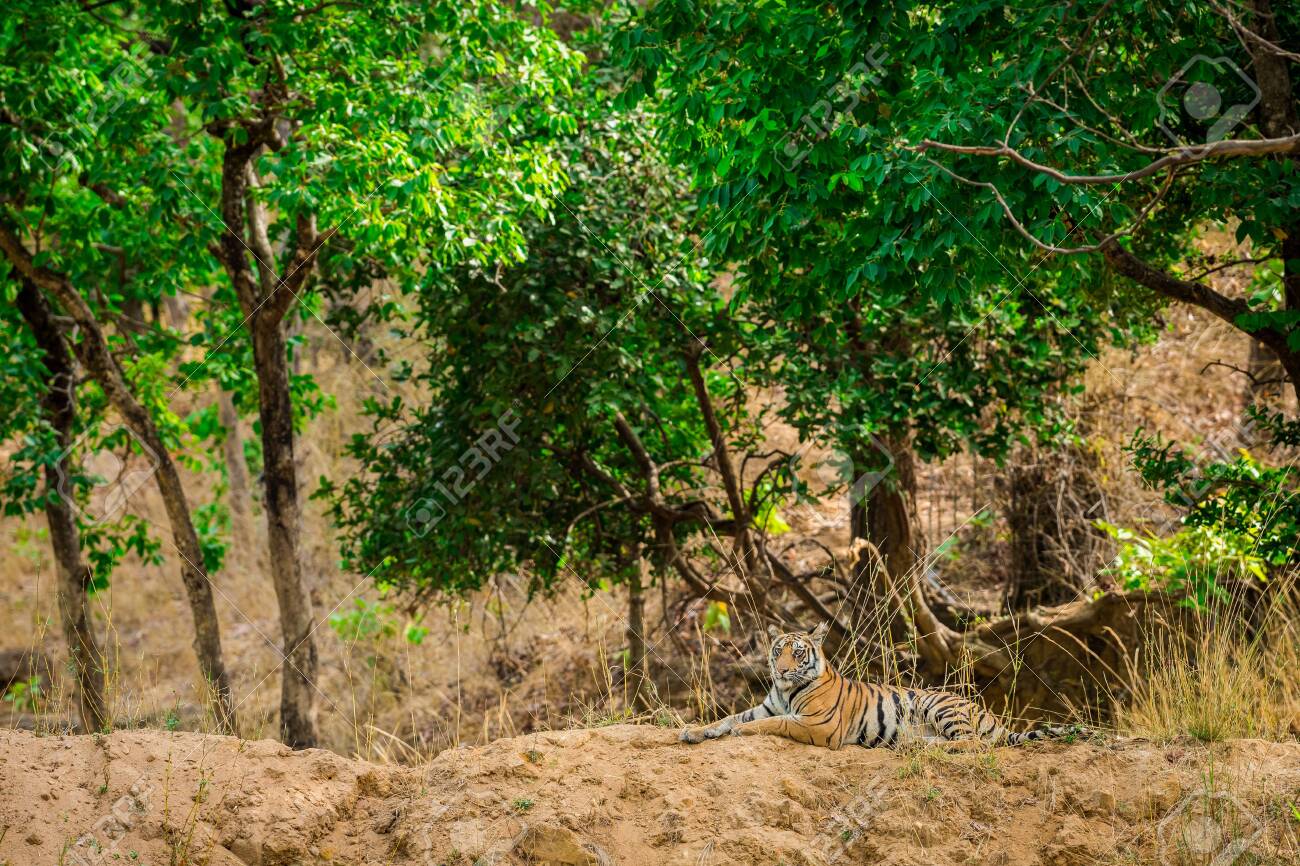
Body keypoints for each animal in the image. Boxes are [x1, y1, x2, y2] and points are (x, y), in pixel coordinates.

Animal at [681, 621, 1066, 748]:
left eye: (798, 653)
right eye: (778, 651)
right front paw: (695, 732)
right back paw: (915, 743)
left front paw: (740, 733)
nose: (781, 670)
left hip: (938, 704)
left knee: (974, 744)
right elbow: (729, 717)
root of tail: (993, 716)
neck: (787, 690)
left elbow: (773, 723)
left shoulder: (818, 727)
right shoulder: (766, 706)